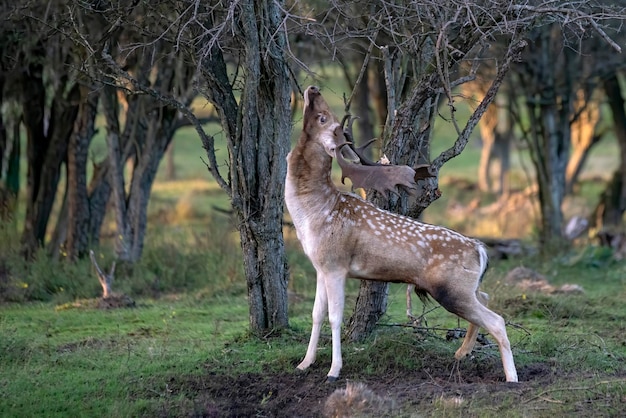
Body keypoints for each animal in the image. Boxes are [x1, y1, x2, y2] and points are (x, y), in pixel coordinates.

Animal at [284, 86, 516, 384]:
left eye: (323, 118)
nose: (312, 89)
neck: (312, 213)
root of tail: (480, 249)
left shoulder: (336, 264)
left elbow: (335, 316)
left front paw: (334, 371)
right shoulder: (320, 266)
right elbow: (316, 314)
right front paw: (304, 363)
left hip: (451, 289)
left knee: (497, 320)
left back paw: (511, 378)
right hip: (464, 288)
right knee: (485, 300)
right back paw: (461, 353)